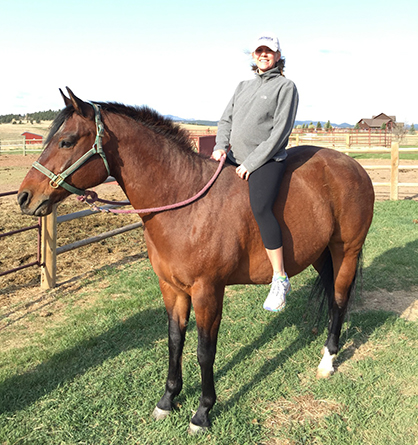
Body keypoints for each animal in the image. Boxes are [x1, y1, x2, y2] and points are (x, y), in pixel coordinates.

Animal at [18, 88, 374, 432]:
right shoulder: (172, 288)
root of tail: (352, 166)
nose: (24, 197)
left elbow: (205, 351)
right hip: (321, 253)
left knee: (339, 300)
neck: (184, 204)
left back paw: (327, 361)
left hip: (346, 251)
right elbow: (175, 341)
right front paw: (167, 400)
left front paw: (202, 412)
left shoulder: (208, 291)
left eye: (66, 141)